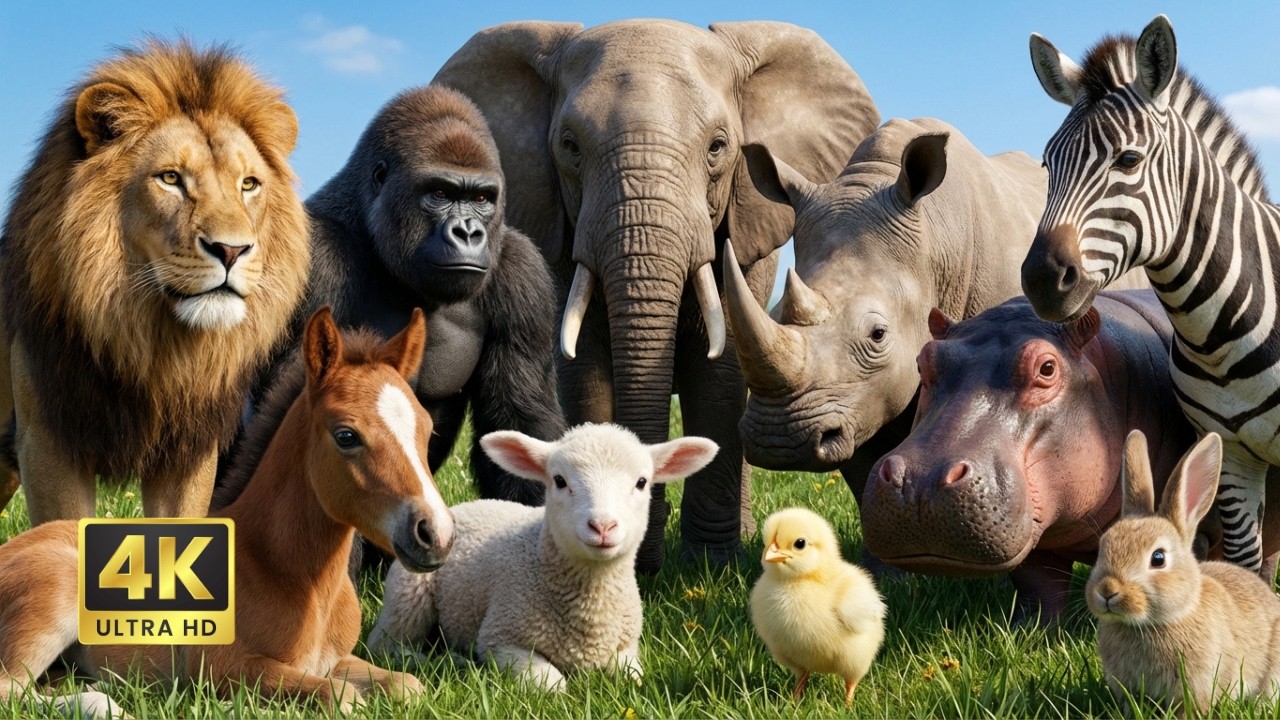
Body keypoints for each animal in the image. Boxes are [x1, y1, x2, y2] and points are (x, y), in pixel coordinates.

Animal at [0, 39, 310, 523]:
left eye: (249, 184)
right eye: (170, 178)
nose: (232, 251)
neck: (152, 347)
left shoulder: (188, 453)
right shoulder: (47, 442)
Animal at [434, 20, 879, 569]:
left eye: (718, 147)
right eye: (569, 146)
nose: (641, 553)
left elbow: (718, 373)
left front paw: (711, 565)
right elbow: (583, 370)